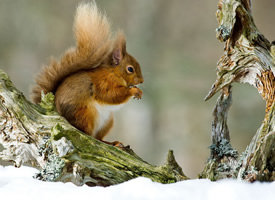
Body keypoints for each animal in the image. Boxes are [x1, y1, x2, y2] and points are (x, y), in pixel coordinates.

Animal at [31, 1, 144, 142]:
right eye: (130, 69)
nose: (141, 81)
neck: (114, 72)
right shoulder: (104, 82)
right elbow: (110, 95)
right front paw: (134, 91)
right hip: (86, 114)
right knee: (86, 132)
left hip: (107, 121)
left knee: (98, 137)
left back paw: (112, 143)